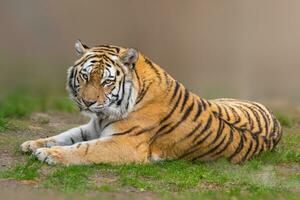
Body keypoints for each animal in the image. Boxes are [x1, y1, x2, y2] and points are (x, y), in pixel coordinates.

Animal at [19, 39, 282, 165]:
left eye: (106, 82)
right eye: (85, 76)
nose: (87, 102)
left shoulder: (124, 144)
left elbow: (83, 149)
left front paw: (49, 155)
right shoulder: (94, 127)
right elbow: (65, 135)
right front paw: (32, 144)